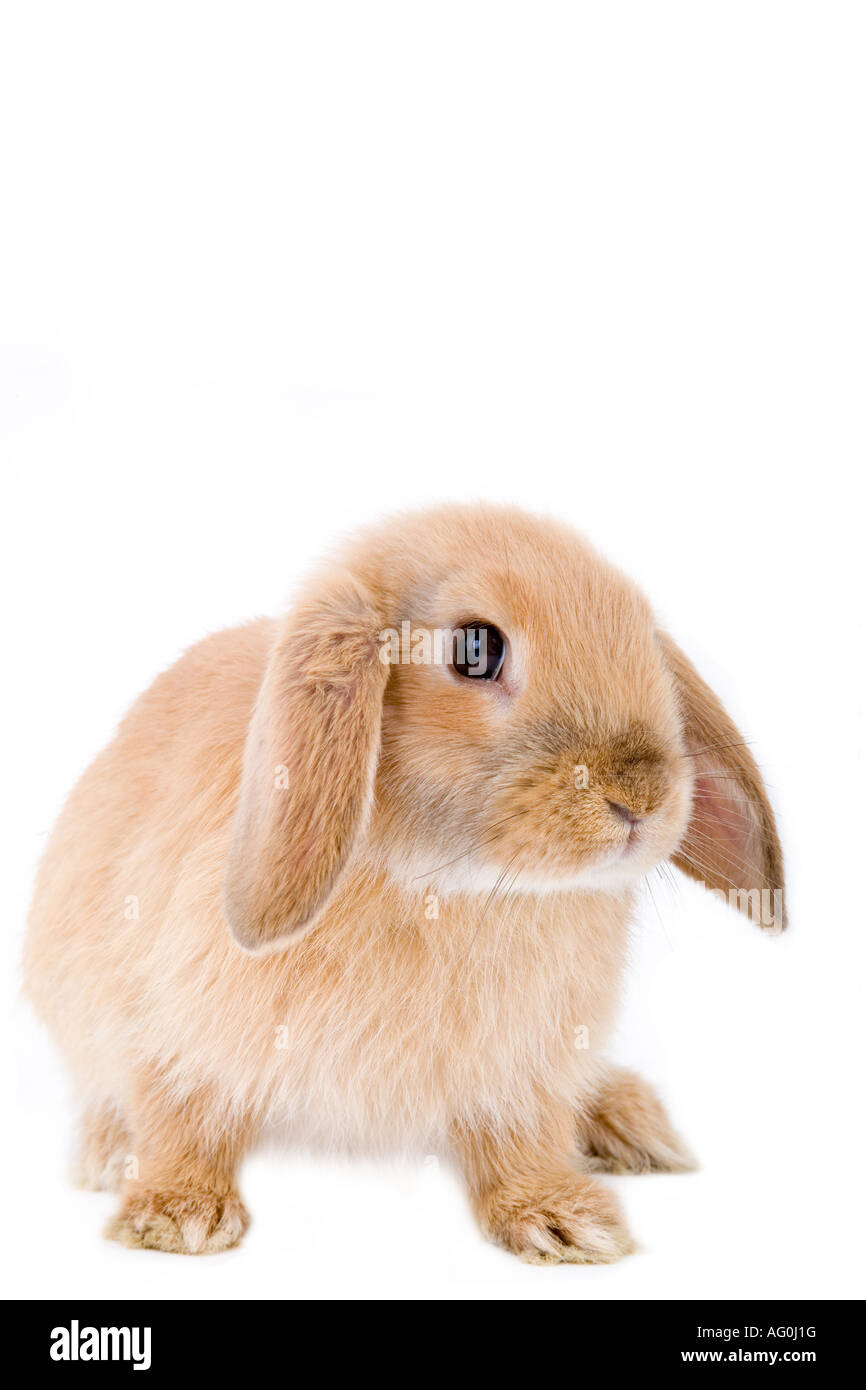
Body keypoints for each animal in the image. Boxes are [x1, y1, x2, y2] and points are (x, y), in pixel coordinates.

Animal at [23, 503, 785, 1263]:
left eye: (642, 639)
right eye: (477, 649)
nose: (640, 798)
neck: (445, 882)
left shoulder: (523, 1073)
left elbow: (524, 1143)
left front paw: (562, 1219)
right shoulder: (170, 1029)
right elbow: (180, 1116)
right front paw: (176, 1217)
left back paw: (628, 1123)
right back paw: (106, 1156)